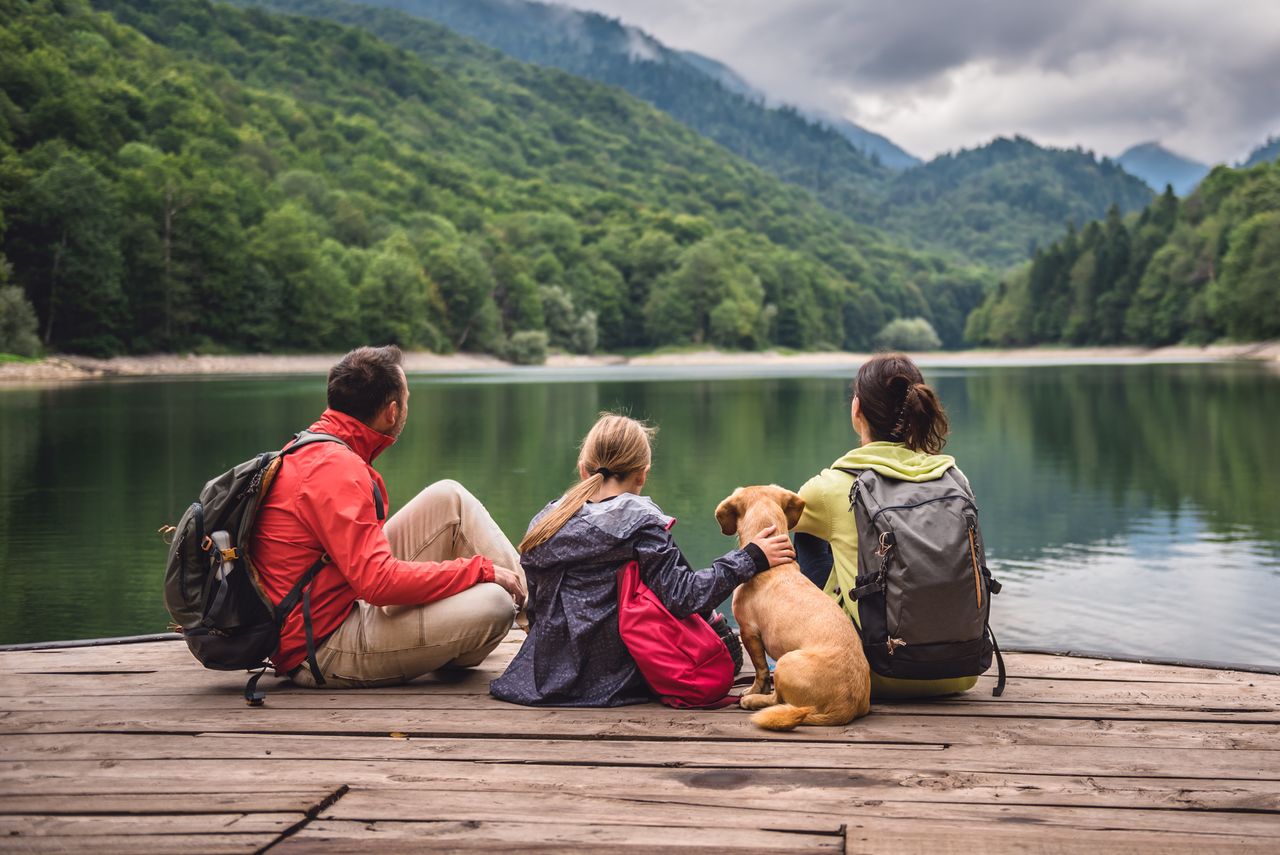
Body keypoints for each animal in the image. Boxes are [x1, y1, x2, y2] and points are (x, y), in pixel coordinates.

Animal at [721, 486, 870, 727]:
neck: (774, 566)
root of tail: (844, 708)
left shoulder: (748, 631)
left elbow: (761, 670)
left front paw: (752, 691)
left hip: (785, 662)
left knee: (777, 699)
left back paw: (752, 700)